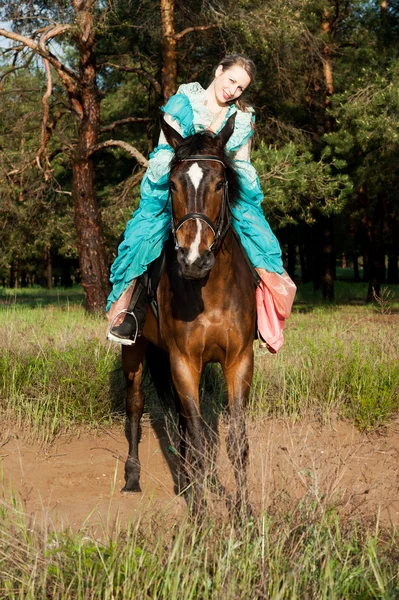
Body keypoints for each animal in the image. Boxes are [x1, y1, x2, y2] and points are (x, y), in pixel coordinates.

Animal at [121, 113, 256, 516]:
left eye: (221, 183)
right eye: (172, 184)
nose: (194, 260)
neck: (208, 292)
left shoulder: (239, 361)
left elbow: (236, 442)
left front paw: (244, 513)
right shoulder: (184, 360)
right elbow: (197, 439)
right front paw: (201, 514)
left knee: (180, 419)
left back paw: (184, 480)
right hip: (134, 352)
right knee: (135, 407)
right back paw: (132, 478)